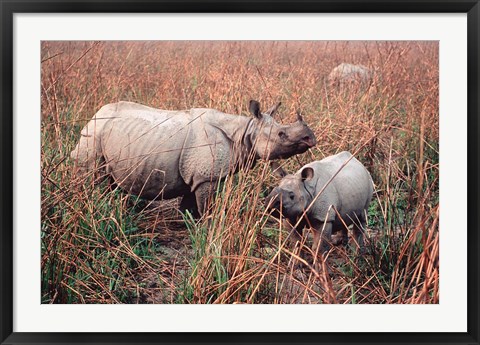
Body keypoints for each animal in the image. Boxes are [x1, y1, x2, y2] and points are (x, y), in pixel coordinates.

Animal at [71, 99, 316, 215]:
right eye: (281, 134)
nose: (310, 138)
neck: (245, 131)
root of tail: (94, 116)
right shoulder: (206, 177)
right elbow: (205, 207)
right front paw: (205, 228)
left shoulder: (196, 176)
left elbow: (189, 205)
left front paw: (188, 224)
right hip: (93, 135)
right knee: (93, 177)